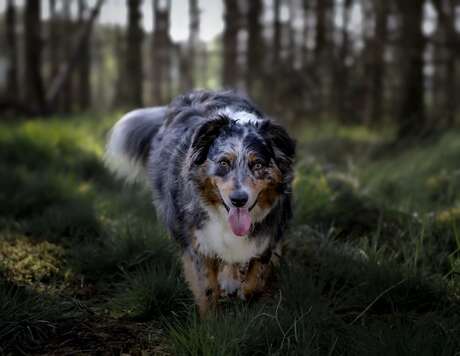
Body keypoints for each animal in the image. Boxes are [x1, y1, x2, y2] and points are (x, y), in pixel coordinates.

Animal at [104, 91, 294, 314]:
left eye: (257, 164)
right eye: (223, 163)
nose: (239, 200)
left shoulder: (269, 234)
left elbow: (256, 277)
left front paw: (244, 292)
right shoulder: (198, 239)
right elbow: (207, 287)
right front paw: (211, 320)